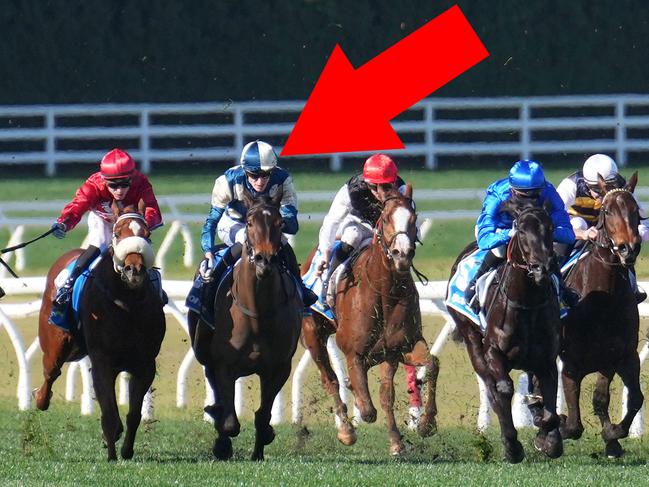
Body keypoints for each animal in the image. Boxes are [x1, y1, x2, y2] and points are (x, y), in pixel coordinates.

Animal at [33, 201, 166, 462]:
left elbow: (133, 414)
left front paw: (126, 450)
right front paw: (112, 453)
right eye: (117, 233)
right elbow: (109, 413)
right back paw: (39, 398)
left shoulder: (144, 364)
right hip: (58, 344)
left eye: (147, 234)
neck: (126, 305)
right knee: (50, 373)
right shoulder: (103, 362)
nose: (134, 269)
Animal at [189, 189, 302, 464]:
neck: (257, 314)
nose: (264, 259)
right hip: (207, 357)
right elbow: (230, 422)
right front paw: (222, 445)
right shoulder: (223, 365)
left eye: (280, 223)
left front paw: (260, 448)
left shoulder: (278, 367)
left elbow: (263, 415)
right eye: (249, 223)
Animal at [302, 185, 438, 456]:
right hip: (312, 334)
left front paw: (418, 429)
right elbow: (367, 409)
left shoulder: (398, 348)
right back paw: (346, 430)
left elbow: (424, 370)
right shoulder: (354, 352)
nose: (402, 254)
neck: (384, 292)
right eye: (385, 218)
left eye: (414, 218)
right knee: (330, 379)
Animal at [446, 200, 560, 464]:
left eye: (550, 227)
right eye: (521, 230)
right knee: (491, 387)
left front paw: (548, 439)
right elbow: (504, 389)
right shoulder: (493, 352)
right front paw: (512, 445)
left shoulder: (546, 359)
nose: (542, 267)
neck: (526, 303)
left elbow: (549, 405)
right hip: (471, 339)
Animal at [556, 173, 644, 460]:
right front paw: (558, 427)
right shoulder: (571, 361)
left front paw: (612, 436)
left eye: (635, 210)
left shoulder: (618, 356)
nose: (628, 248)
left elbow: (613, 398)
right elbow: (573, 423)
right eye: (607, 210)